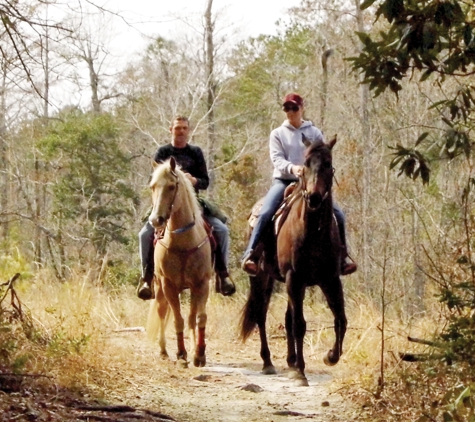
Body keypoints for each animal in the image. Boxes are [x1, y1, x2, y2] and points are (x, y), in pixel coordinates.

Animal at [145, 157, 212, 368]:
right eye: (152, 186)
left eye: (172, 186)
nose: (156, 220)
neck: (182, 242)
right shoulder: (169, 286)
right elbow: (177, 319)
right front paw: (181, 354)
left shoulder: (202, 284)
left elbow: (200, 317)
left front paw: (199, 354)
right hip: (159, 288)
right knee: (161, 312)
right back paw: (164, 351)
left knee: (192, 317)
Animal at [240, 135, 348, 386]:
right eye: (305, 164)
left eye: (327, 163)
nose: (315, 197)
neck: (313, 232)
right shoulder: (294, 278)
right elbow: (300, 325)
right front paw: (300, 372)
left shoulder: (330, 279)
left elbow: (340, 318)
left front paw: (331, 356)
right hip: (262, 277)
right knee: (261, 314)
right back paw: (268, 362)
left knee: (287, 318)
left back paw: (289, 362)